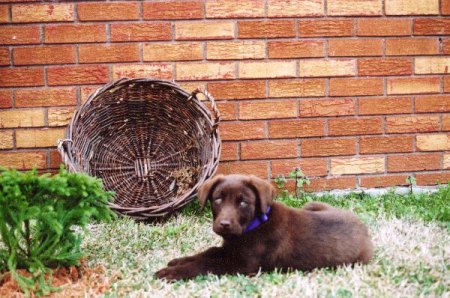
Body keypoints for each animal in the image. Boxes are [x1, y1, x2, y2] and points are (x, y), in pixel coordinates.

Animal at [155, 173, 372, 280]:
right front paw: (178, 261)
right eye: (218, 199)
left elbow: (207, 264)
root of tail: (365, 230)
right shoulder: (230, 249)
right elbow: (208, 252)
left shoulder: (243, 265)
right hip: (312, 205)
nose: (224, 224)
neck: (254, 225)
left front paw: (172, 272)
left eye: (243, 202)